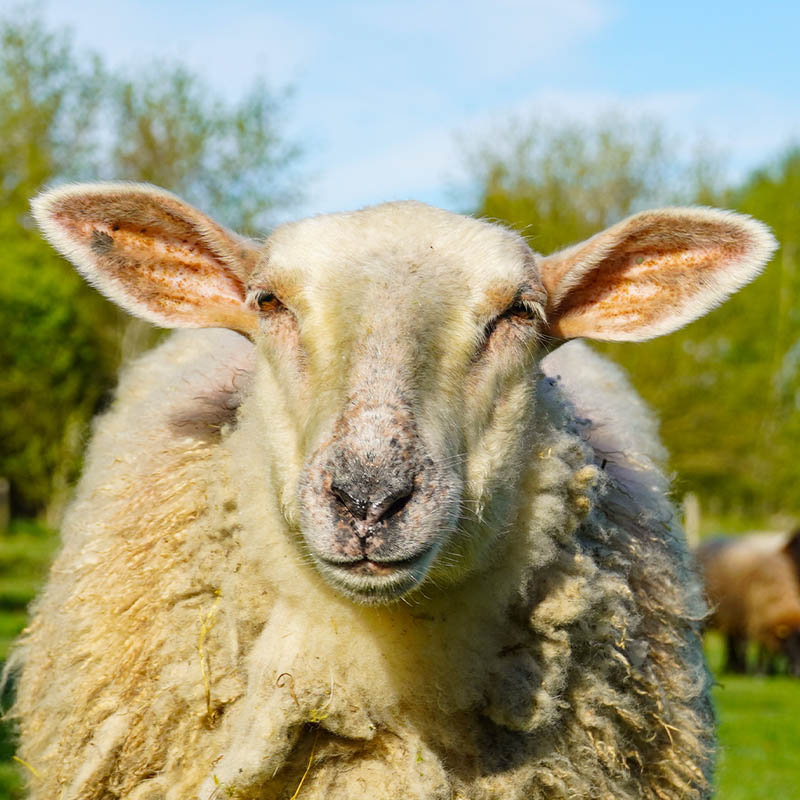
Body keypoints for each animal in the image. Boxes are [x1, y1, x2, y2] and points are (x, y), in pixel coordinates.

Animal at [692, 532, 800, 676]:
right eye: (792, 643)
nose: (797, 672)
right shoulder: (752, 617)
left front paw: (769, 670)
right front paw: (760, 671)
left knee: (731, 641)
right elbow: (753, 647)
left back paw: (733, 667)